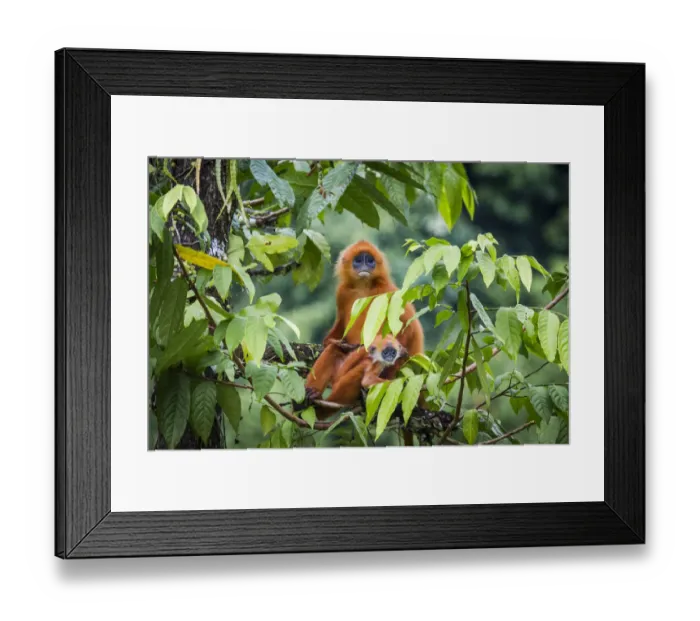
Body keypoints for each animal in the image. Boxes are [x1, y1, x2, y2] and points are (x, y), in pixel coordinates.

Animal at [305, 240, 424, 406]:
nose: (364, 266)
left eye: (369, 260)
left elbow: (408, 329)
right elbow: (338, 335)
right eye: (359, 260)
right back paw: (312, 394)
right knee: (333, 350)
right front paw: (335, 342)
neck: (363, 286)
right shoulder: (342, 292)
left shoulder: (387, 291)